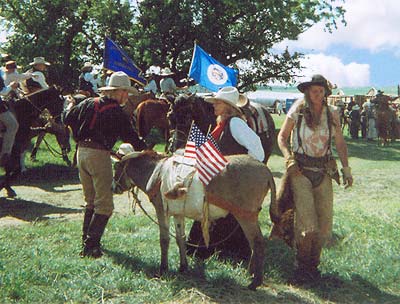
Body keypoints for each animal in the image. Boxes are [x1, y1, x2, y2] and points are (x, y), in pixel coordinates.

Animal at [112, 150, 276, 290]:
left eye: (116, 168)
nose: (114, 188)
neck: (155, 172)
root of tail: (265, 169)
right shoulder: (178, 213)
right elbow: (180, 239)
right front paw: (183, 267)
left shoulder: (161, 210)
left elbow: (164, 240)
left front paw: (163, 270)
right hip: (249, 216)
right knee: (254, 243)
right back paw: (251, 273)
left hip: (245, 215)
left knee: (258, 243)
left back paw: (255, 282)